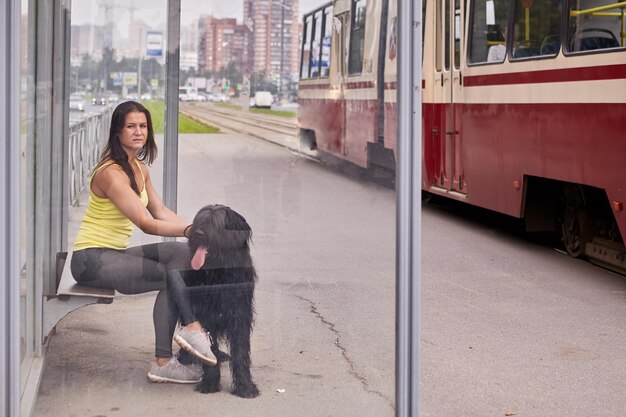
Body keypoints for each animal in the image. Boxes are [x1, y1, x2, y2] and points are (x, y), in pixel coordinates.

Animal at [178, 204, 258, 396]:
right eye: (200, 221)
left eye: (215, 224)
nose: (198, 233)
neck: (219, 272)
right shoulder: (205, 315)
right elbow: (210, 349)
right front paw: (209, 383)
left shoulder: (240, 314)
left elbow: (241, 352)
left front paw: (245, 386)